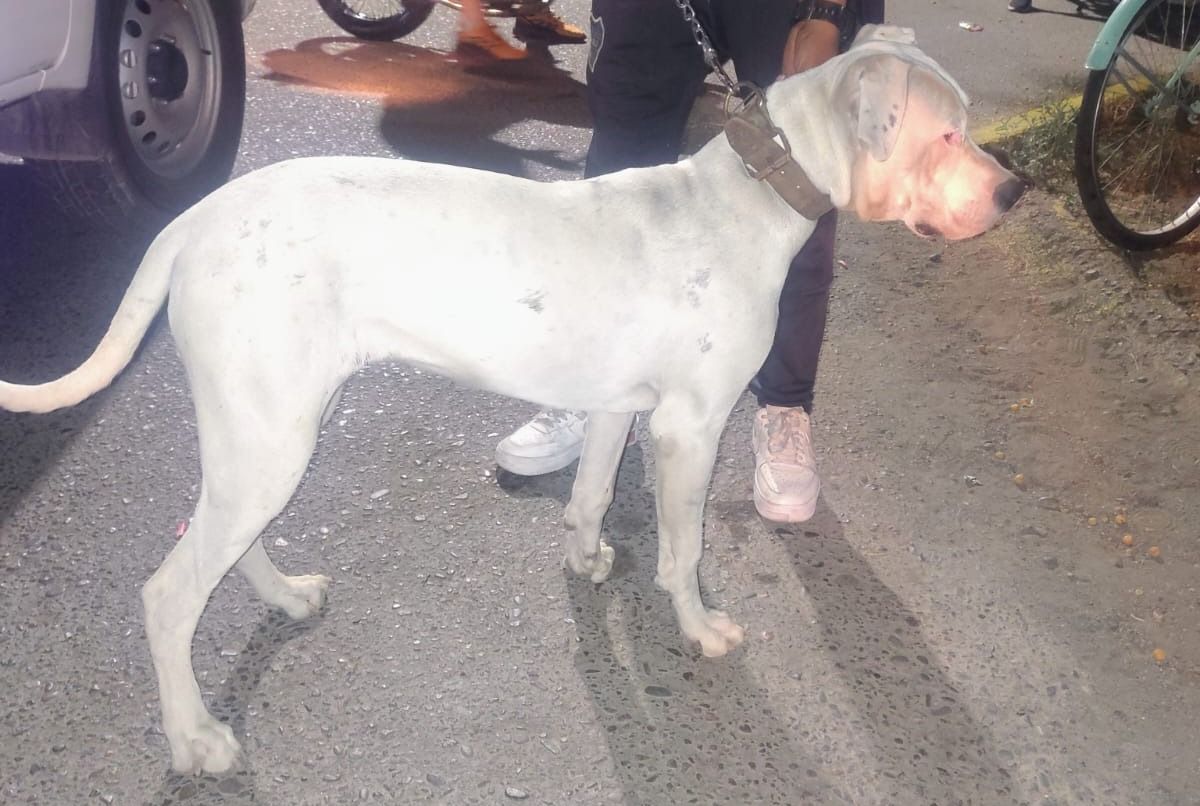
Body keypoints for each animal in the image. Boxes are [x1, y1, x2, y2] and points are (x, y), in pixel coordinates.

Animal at [0, 26, 1022, 774]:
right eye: (945, 134)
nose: (1017, 189)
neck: (759, 188)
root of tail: (193, 218)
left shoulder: (620, 407)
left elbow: (594, 493)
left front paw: (585, 558)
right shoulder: (690, 428)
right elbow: (685, 551)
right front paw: (697, 628)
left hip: (266, 432)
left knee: (220, 540)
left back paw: (285, 596)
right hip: (271, 440)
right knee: (170, 594)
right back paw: (196, 739)